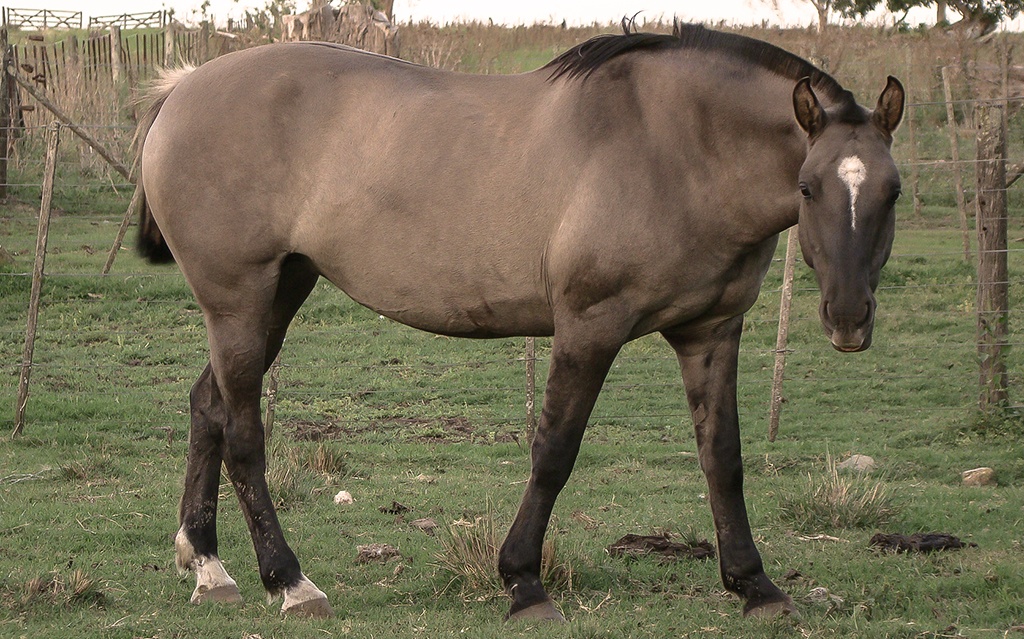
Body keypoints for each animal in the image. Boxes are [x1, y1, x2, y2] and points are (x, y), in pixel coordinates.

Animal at [134, 23, 905, 618]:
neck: (674, 147)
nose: (848, 317)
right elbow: (554, 450)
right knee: (242, 434)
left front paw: (754, 584)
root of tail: (184, 87)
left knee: (207, 406)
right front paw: (523, 581)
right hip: (239, 301)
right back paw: (289, 581)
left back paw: (207, 564)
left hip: (280, 292)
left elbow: (724, 458)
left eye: (894, 190)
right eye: (808, 186)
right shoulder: (590, 326)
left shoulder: (712, 332)